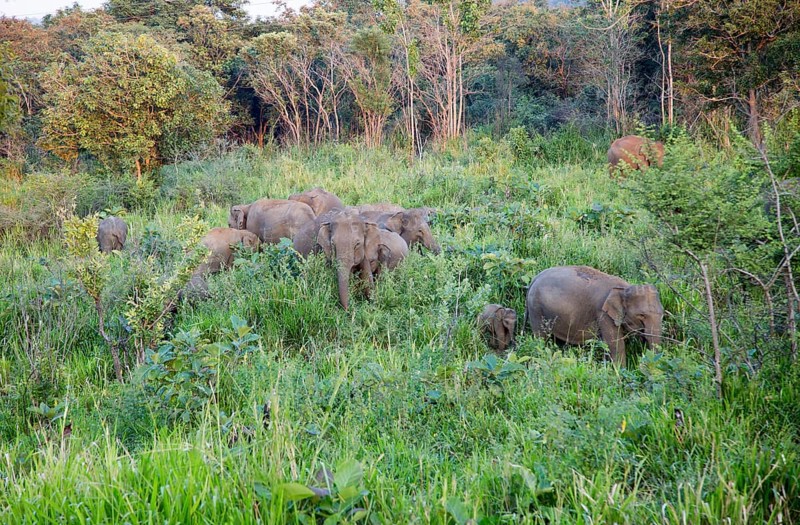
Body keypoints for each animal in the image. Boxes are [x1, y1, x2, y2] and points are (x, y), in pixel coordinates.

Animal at [525, 265, 664, 367]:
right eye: (641, 315)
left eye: (662, 314)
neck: (624, 288)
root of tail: (534, 279)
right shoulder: (603, 314)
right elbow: (615, 345)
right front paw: (620, 374)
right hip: (536, 309)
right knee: (540, 338)